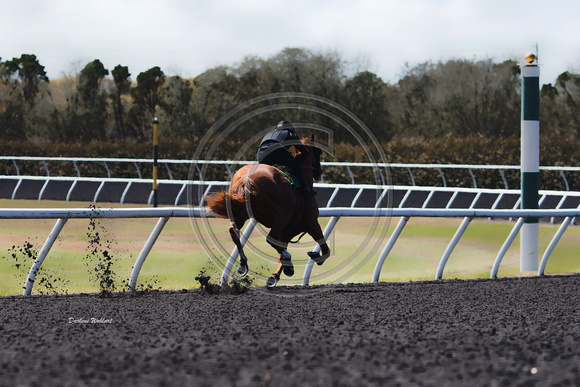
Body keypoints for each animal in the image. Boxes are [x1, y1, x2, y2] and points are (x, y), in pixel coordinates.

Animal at [206, 135, 328, 286]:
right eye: (319, 152)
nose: (319, 171)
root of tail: (246, 178)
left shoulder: (288, 231)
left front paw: (277, 274)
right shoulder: (311, 223)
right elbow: (325, 249)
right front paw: (314, 256)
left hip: (241, 213)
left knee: (234, 231)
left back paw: (243, 264)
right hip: (283, 215)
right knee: (271, 237)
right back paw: (287, 258)